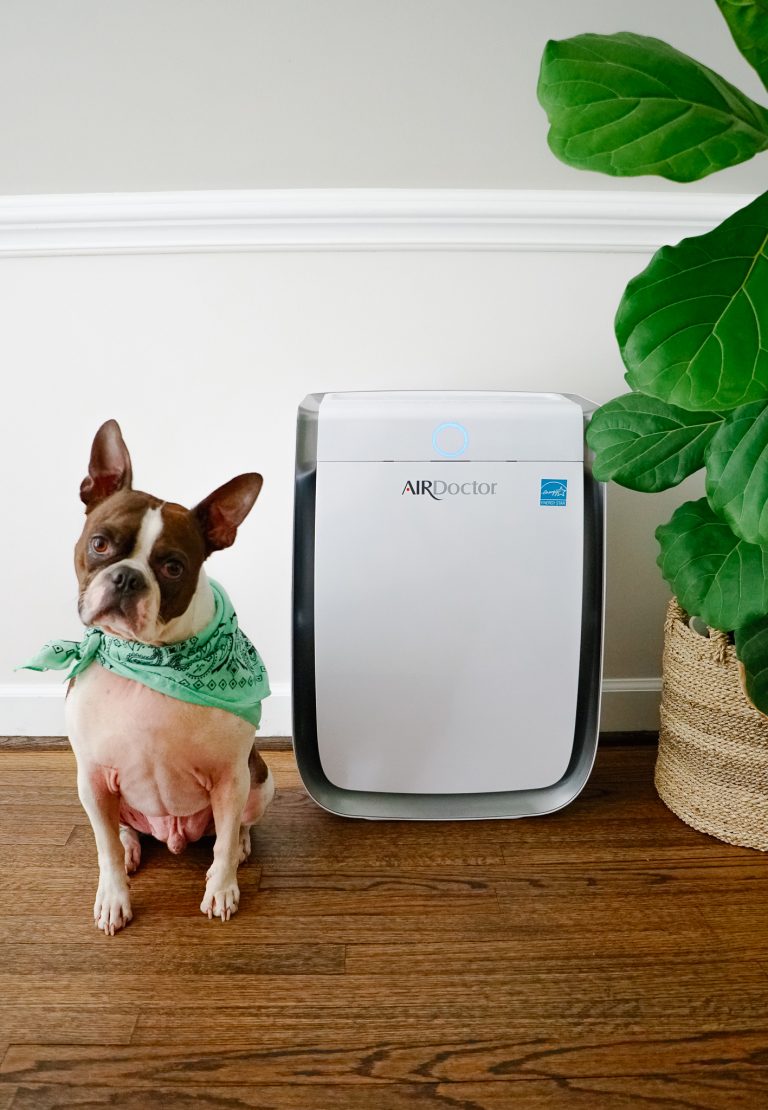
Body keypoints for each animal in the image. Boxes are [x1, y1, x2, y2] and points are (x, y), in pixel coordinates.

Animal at [63, 419, 273, 932]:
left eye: (173, 567)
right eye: (100, 544)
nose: (126, 578)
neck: (150, 657)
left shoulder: (230, 778)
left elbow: (221, 845)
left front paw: (222, 890)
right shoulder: (92, 776)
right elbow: (103, 849)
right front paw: (113, 898)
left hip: (259, 779)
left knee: (236, 826)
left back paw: (238, 848)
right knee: (120, 830)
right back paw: (131, 845)